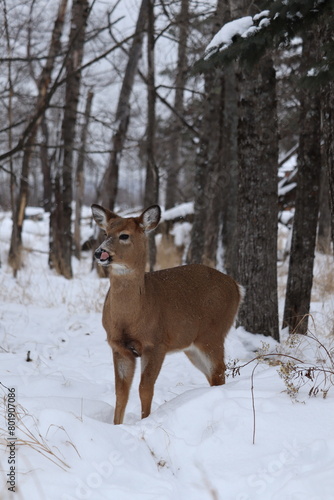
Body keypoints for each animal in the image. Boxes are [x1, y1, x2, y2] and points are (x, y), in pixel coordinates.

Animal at [91, 203, 243, 426]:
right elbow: (121, 392)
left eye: (124, 235)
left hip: (213, 333)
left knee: (219, 372)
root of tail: (237, 286)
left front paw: (145, 421)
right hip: (192, 346)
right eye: (105, 233)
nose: (99, 252)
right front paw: (116, 426)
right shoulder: (118, 347)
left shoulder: (156, 344)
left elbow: (145, 388)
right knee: (213, 376)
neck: (131, 317)